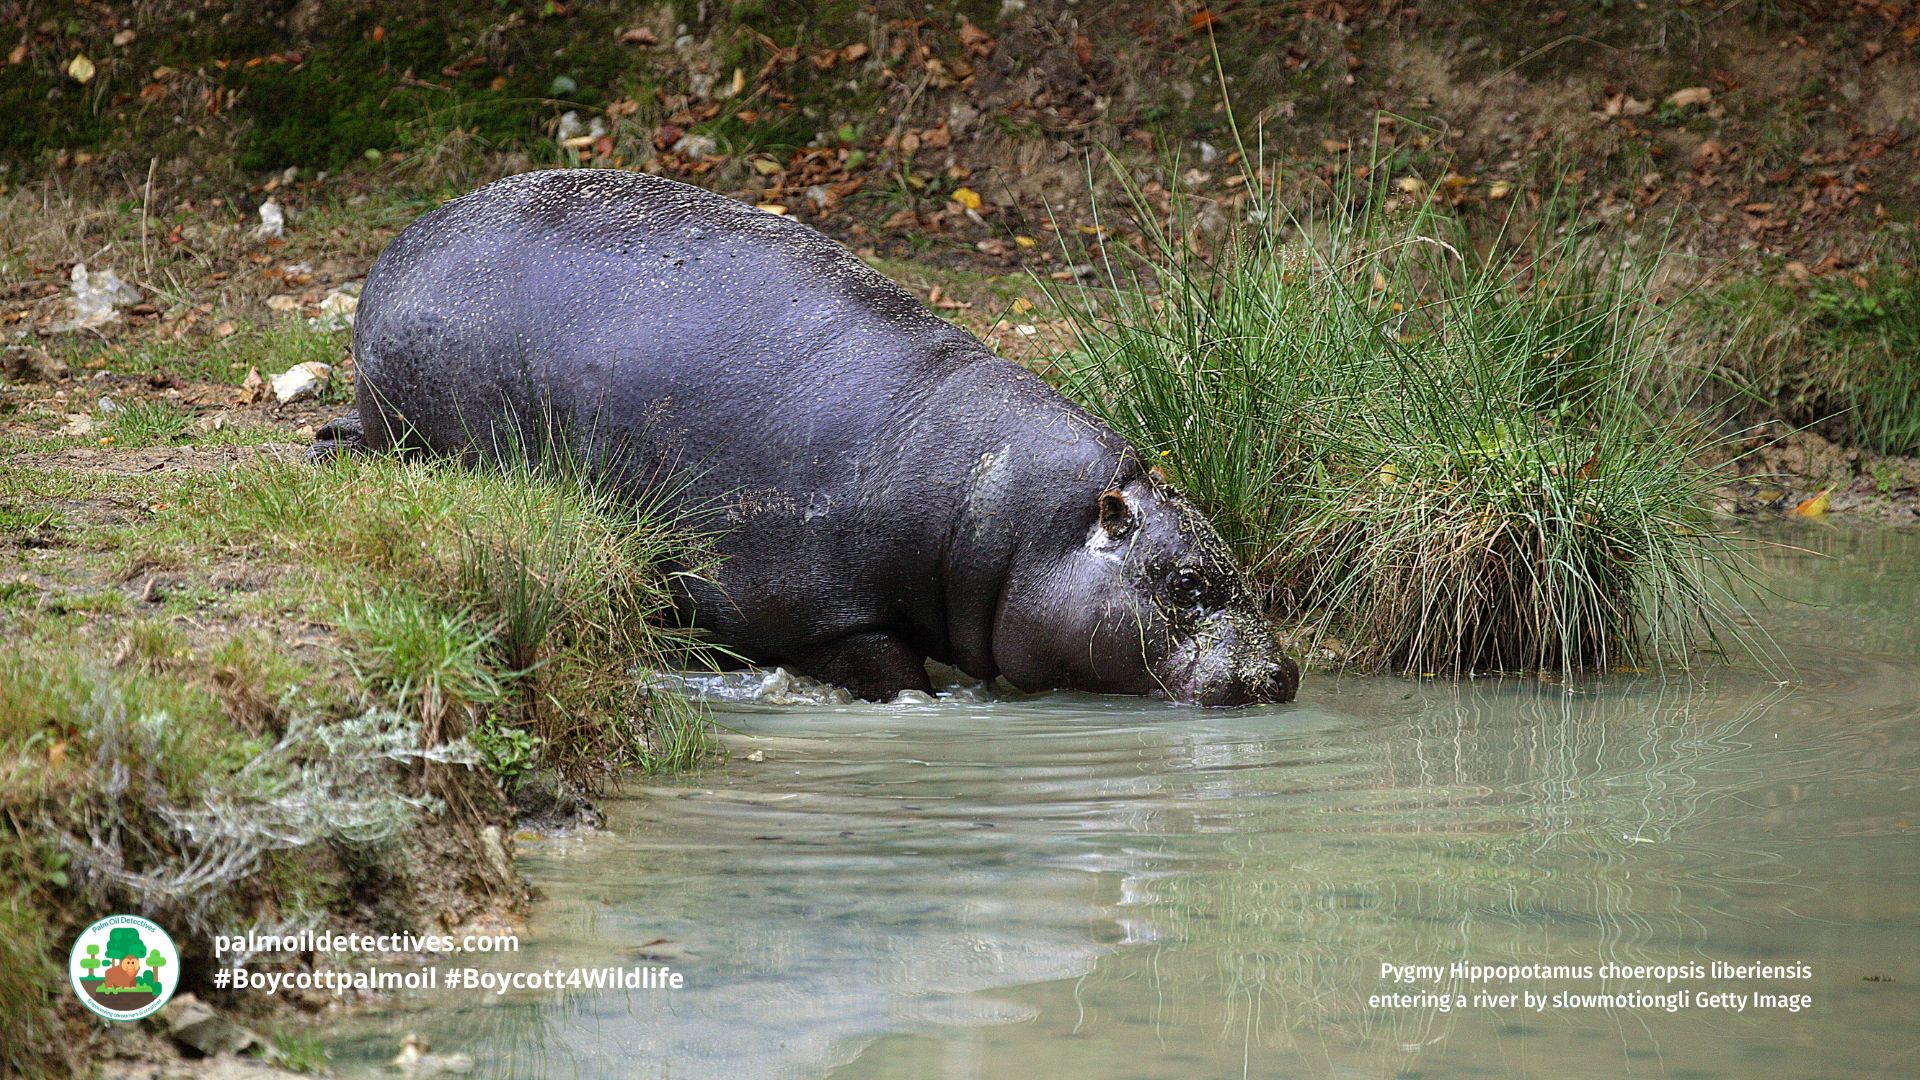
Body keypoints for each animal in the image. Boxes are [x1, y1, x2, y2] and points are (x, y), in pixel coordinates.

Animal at [319, 169, 1297, 705]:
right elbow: (894, 674)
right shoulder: (831, 613)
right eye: (1188, 582)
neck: (1020, 522)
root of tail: (398, 246)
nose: (1282, 674)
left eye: (1232, 562)